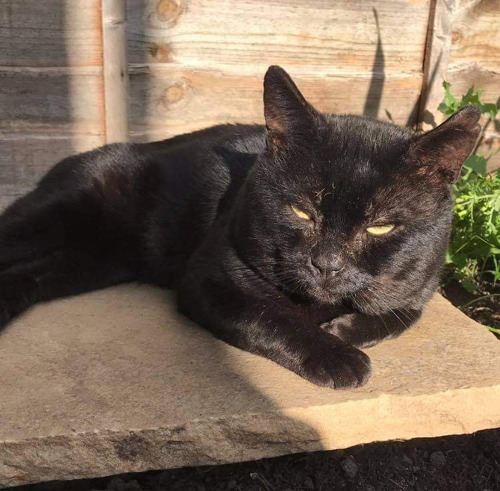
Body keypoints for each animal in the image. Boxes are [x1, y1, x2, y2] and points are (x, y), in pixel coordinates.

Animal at [0, 66, 480, 388]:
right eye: (301, 211)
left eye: (381, 227)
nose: (326, 263)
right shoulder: (209, 280)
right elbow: (271, 317)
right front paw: (339, 357)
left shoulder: (421, 286)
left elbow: (401, 314)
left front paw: (344, 329)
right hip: (49, 220)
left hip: (90, 262)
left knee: (30, 276)